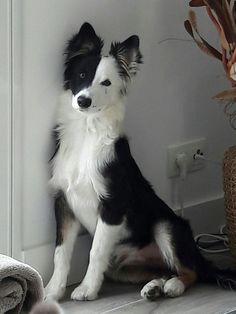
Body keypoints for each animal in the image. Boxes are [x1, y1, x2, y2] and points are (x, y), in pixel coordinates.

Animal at [45, 22, 235, 302]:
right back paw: (154, 286)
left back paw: (173, 286)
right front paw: (52, 291)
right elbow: (60, 253)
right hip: (124, 268)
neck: (87, 131)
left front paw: (87, 289)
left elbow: (95, 251)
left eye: (106, 82)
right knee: (166, 269)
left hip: (166, 226)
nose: (83, 101)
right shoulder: (64, 202)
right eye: (82, 75)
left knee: (190, 271)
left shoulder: (113, 204)